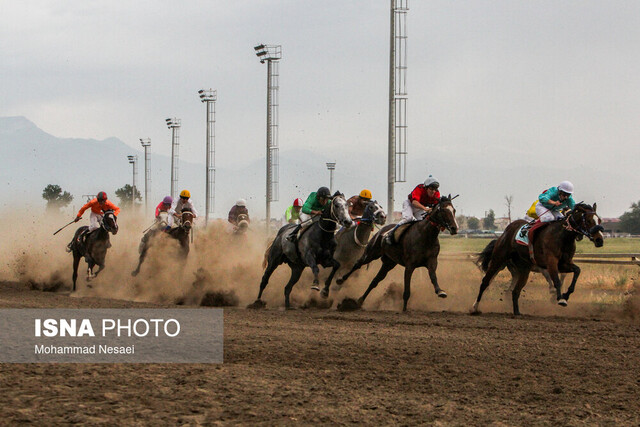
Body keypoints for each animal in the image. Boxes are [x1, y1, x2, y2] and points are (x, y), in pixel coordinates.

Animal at [470, 202, 604, 316]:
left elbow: (577, 271)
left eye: (599, 220)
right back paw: (475, 308)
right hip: (498, 260)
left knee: (514, 291)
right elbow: (556, 280)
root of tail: (504, 233)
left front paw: (566, 295)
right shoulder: (550, 263)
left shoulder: (564, 264)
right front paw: (560, 298)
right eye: (589, 220)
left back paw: (517, 312)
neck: (563, 236)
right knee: (486, 282)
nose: (600, 240)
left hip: (523, 269)